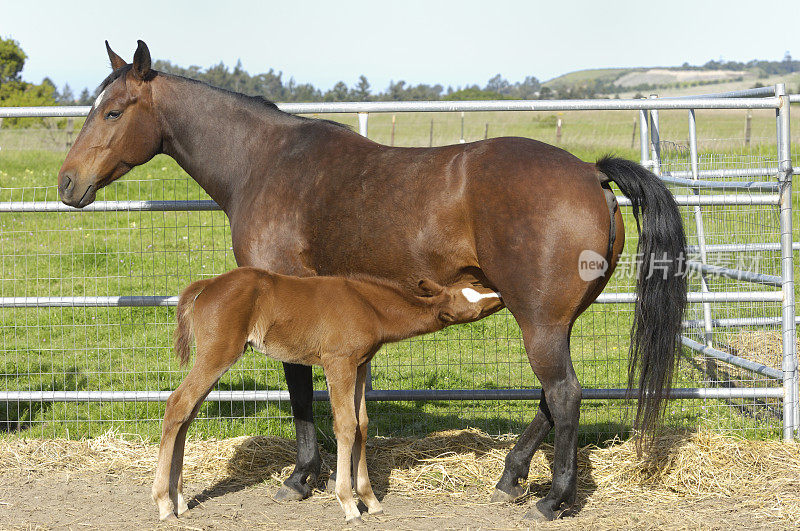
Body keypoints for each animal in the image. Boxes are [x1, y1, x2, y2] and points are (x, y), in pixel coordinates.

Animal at [152, 268, 500, 520]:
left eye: (474, 286)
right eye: (471, 300)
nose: (499, 293)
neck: (368, 306)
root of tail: (207, 285)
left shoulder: (359, 365)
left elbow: (362, 425)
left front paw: (371, 500)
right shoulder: (338, 362)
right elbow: (345, 426)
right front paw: (348, 504)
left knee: (188, 413)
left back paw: (180, 500)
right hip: (218, 354)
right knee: (178, 404)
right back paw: (164, 504)